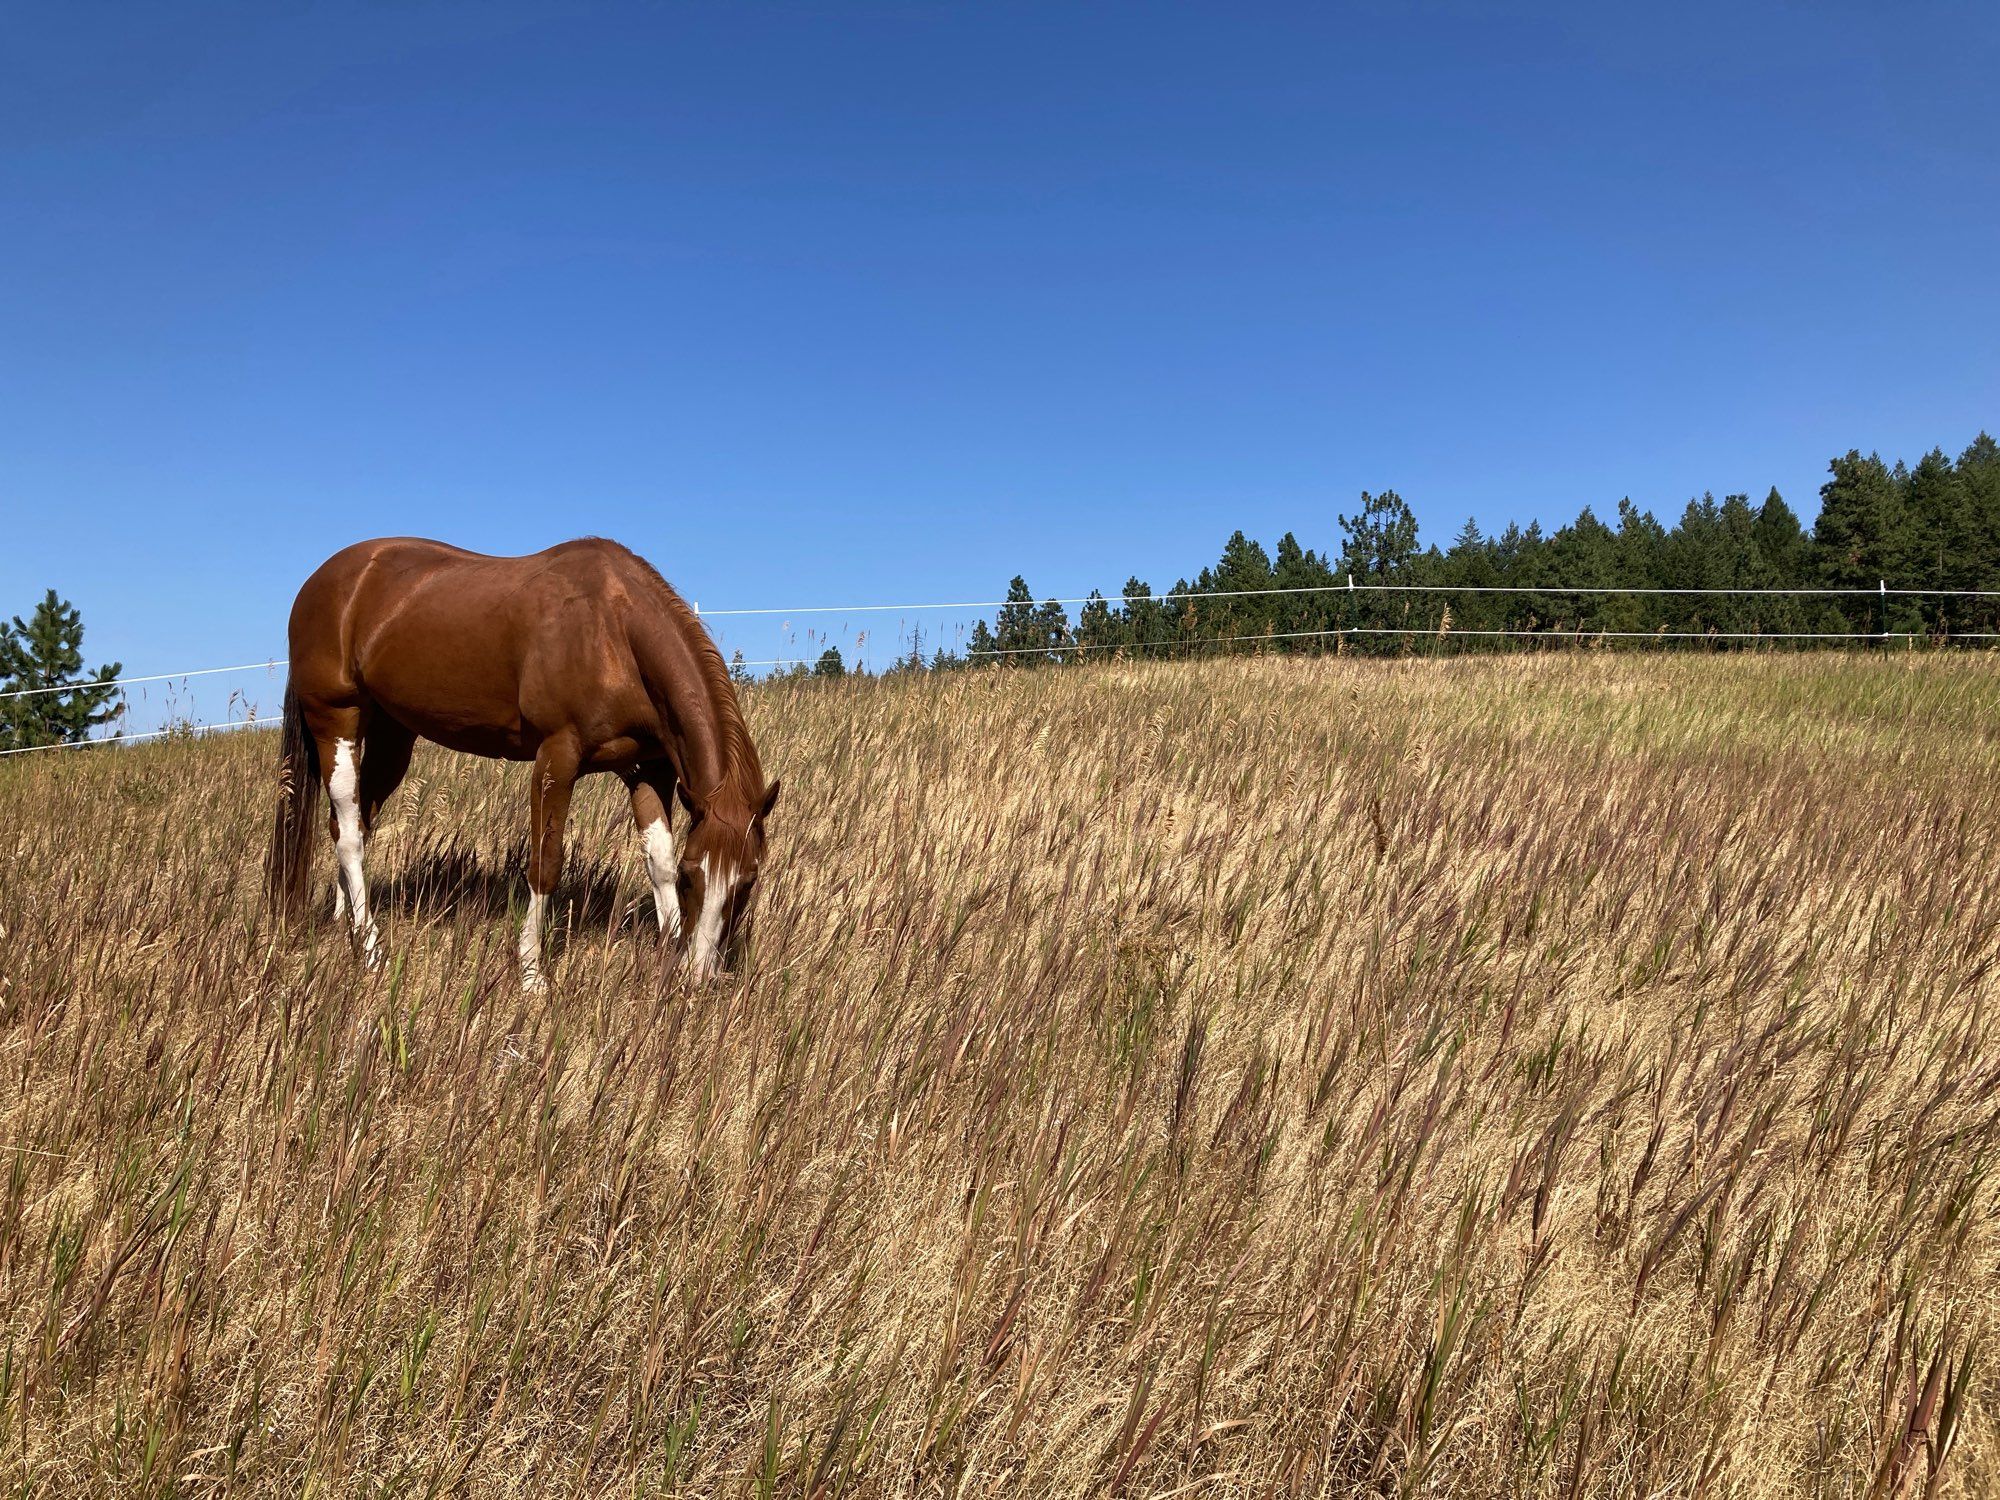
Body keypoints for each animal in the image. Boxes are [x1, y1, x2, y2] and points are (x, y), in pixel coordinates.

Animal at [258, 536, 772, 992]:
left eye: (747, 882)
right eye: (693, 876)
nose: (700, 977)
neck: (613, 632)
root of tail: (323, 581)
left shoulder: (647, 771)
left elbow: (657, 860)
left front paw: (668, 950)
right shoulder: (555, 760)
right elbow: (546, 864)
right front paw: (531, 974)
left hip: (391, 734)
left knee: (352, 823)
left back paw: (344, 923)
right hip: (337, 720)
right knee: (348, 830)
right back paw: (369, 948)